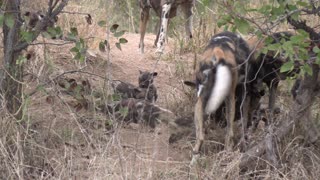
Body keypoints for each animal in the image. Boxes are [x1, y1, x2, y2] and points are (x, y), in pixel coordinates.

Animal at [184, 30, 258, 162]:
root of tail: (217, 51)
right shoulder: (245, 93)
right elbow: (244, 121)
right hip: (230, 97)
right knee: (230, 133)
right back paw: (228, 153)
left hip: (200, 101)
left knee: (200, 136)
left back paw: (194, 160)